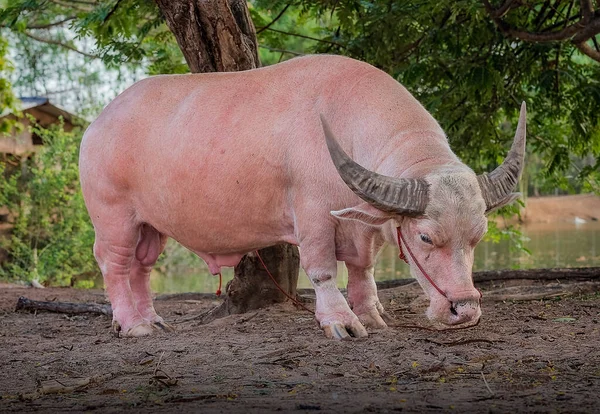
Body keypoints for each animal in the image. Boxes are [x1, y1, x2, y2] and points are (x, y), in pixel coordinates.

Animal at [81, 55, 524, 340]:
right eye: (425, 237)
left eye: (478, 237)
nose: (465, 309)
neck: (348, 121)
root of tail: (97, 124)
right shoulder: (314, 217)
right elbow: (323, 270)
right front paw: (341, 322)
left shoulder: (363, 227)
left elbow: (363, 269)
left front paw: (370, 314)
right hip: (115, 218)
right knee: (114, 266)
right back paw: (133, 324)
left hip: (150, 225)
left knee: (141, 268)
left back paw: (152, 319)